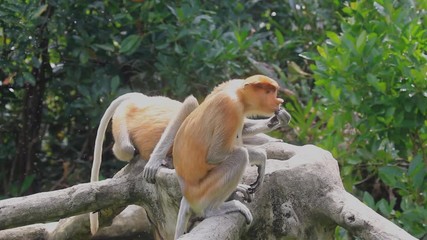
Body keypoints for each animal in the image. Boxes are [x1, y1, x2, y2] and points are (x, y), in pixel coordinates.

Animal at [169, 74, 286, 238]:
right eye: (268, 92)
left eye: (274, 91)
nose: (279, 101)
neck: (239, 95)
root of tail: (187, 193)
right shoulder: (230, 107)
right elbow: (215, 154)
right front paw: (261, 156)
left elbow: (243, 129)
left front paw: (275, 120)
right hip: (202, 192)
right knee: (240, 155)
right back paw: (213, 209)